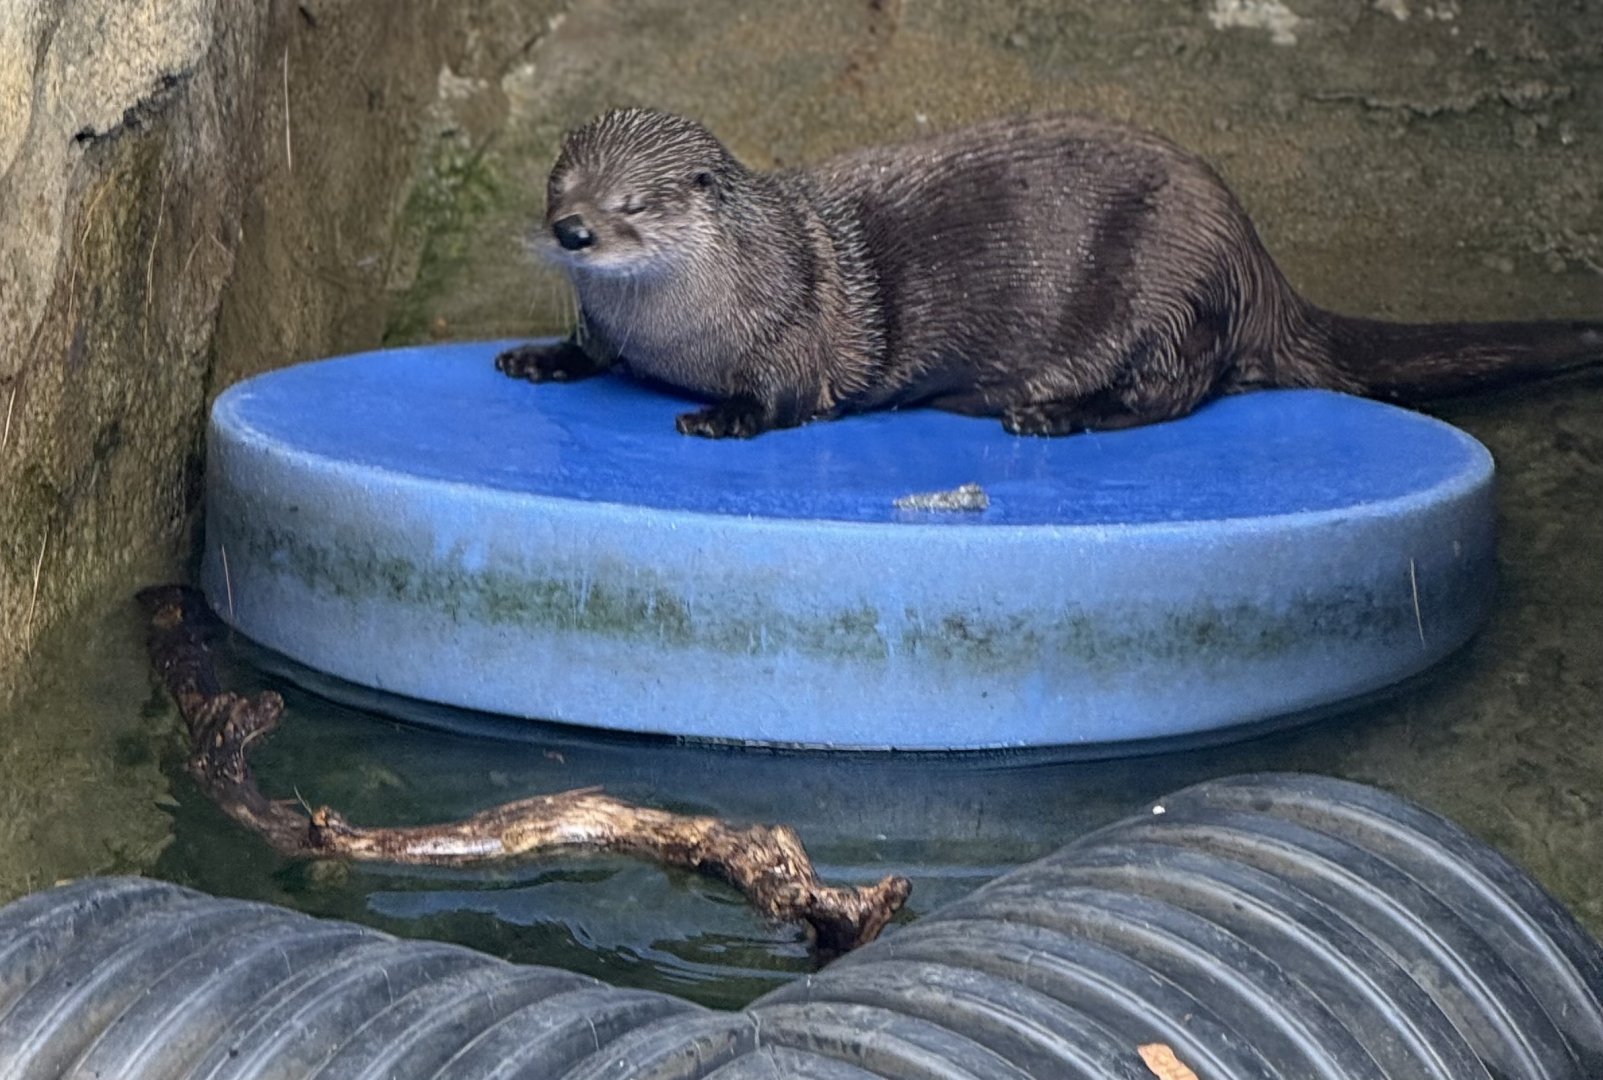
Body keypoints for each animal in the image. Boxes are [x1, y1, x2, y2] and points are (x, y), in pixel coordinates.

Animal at [496, 107, 1602, 438]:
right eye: (558, 183)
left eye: (636, 203)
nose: (575, 234)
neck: (676, 336)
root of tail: (1254, 259)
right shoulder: (612, 328)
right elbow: (588, 347)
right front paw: (538, 359)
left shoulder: (795, 330)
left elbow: (786, 398)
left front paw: (721, 417)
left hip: (1165, 289)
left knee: (1176, 393)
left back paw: (1051, 413)